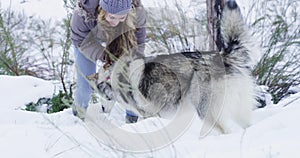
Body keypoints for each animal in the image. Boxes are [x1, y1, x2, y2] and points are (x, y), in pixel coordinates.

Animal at [95, 0, 258, 134]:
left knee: (226, 131)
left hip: (205, 110)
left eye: (100, 95)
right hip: (239, 110)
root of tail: (224, 56)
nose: (101, 110)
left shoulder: (150, 114)